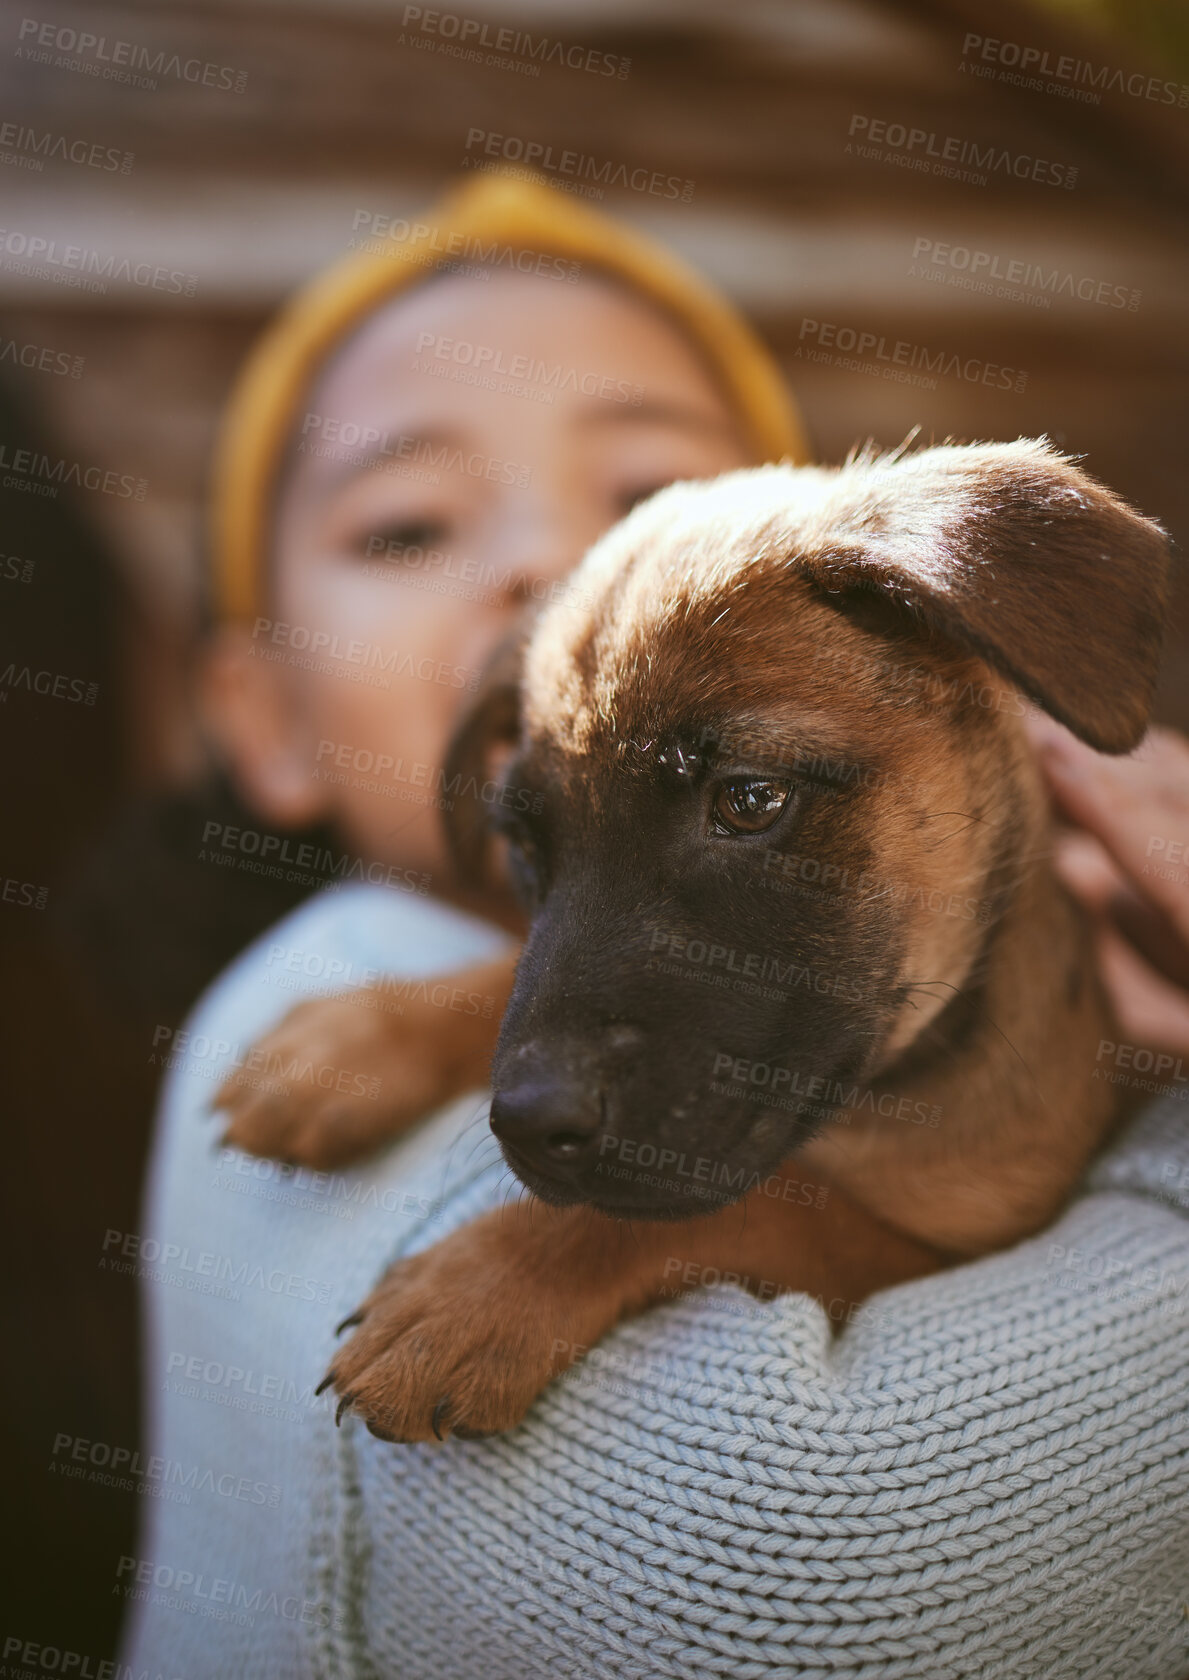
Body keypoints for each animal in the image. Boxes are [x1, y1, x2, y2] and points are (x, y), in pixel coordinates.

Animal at [223, 443, 1168, 1444]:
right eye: (524, 847)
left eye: (749, 800)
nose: (525, 1123)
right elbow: (508, 977)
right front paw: (355, 1041)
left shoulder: (940, 1236)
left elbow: (722, 1210)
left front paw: (479, 1285)